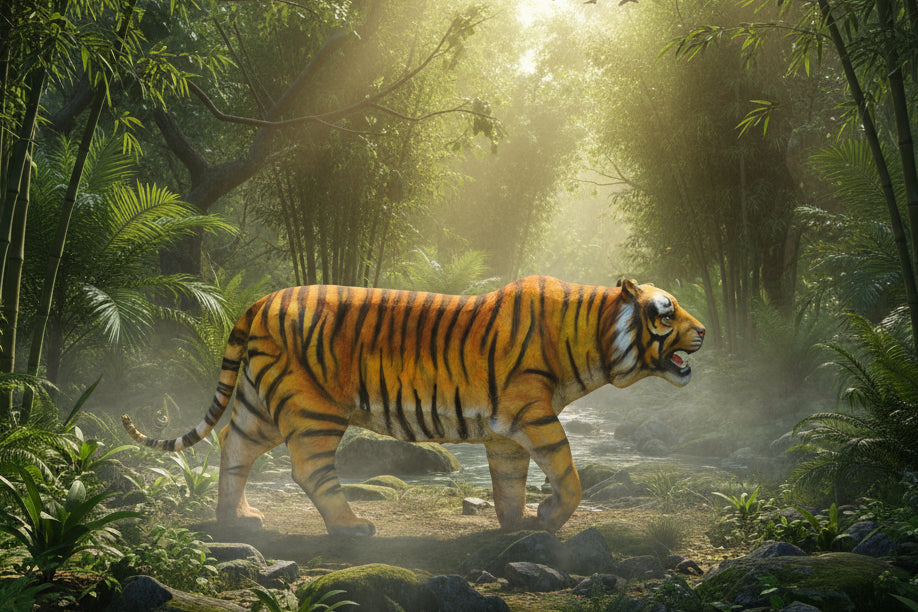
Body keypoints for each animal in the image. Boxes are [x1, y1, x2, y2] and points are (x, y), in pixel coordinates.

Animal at [123, 276, 705, 536]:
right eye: (666, 312)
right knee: (309, 469)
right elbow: (568, 473)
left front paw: (516, 523)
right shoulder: (533, 415)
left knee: (233, 444)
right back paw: (352, 527)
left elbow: (509, 480)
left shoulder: (503, 430)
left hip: (259, 404)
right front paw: (547, 518)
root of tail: (263, 299)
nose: (703, 331)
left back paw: (236, 518)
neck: (595, 333)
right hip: (313, 408)